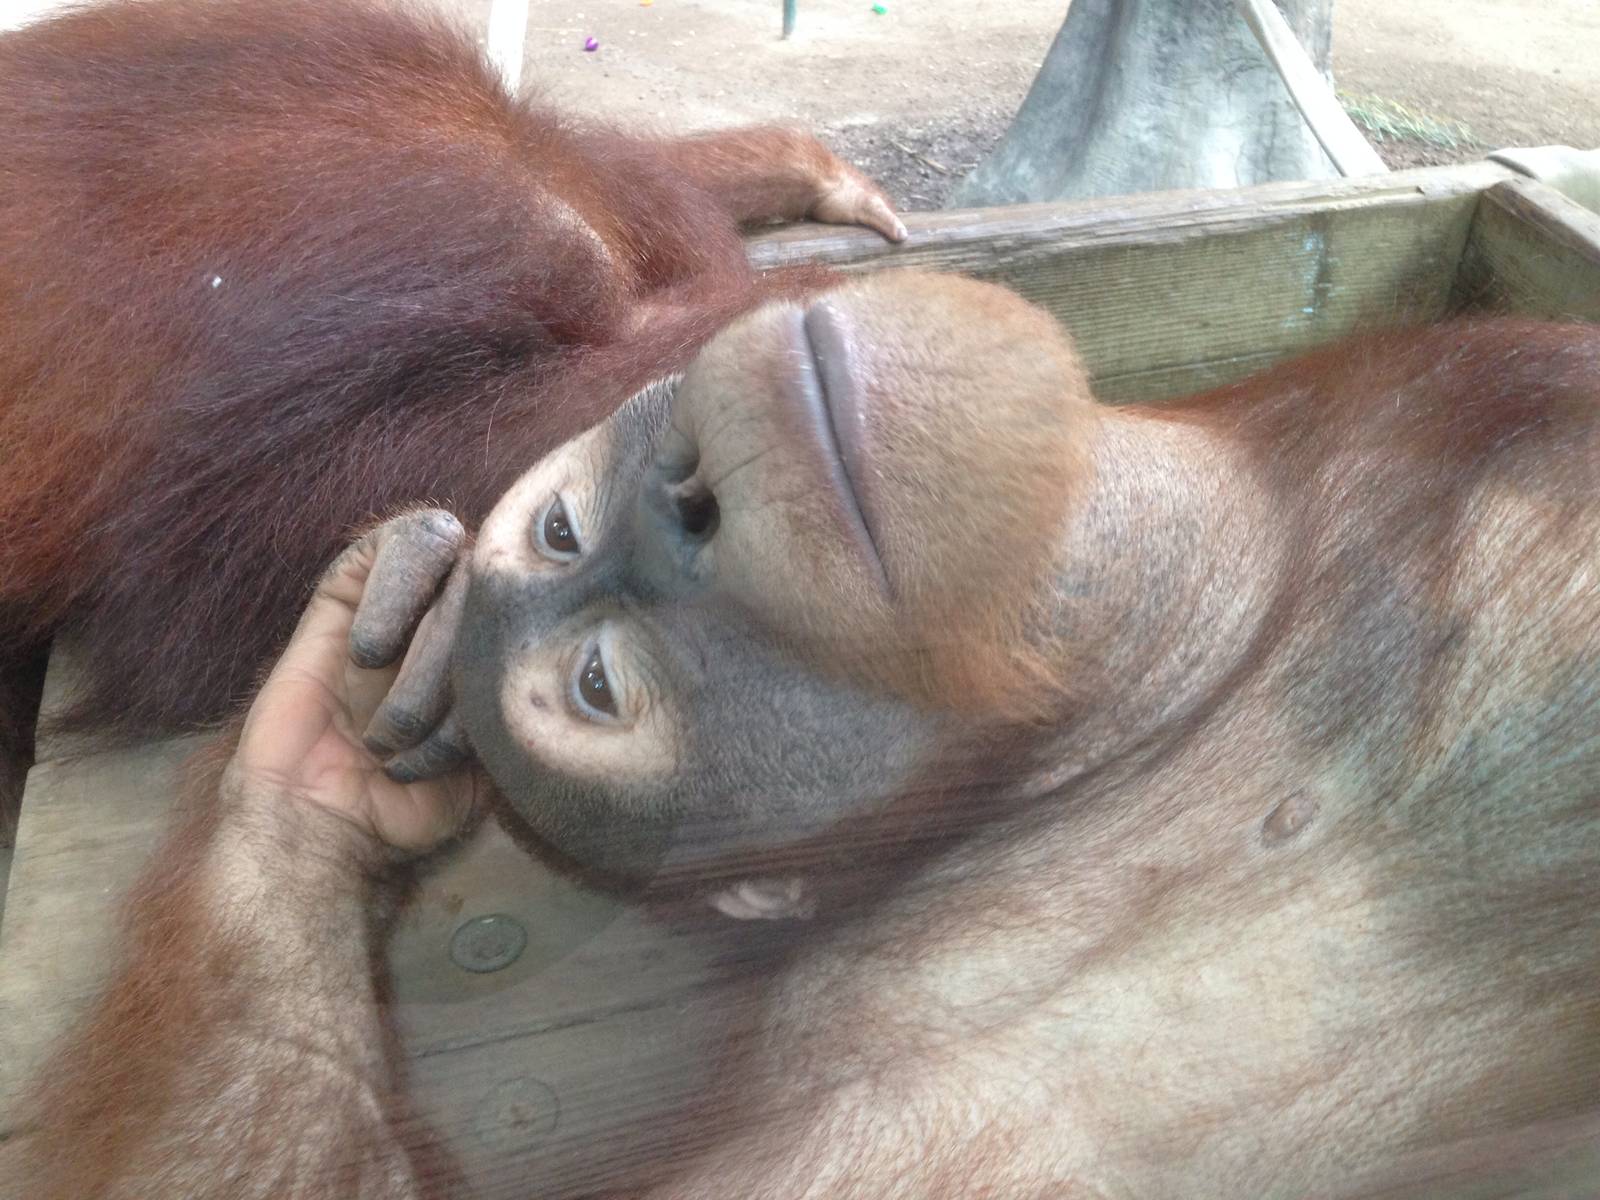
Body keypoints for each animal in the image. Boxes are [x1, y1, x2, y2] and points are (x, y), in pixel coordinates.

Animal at [9, 268, 1599, 1198]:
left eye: (561, 524)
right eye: (603, 690)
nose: (684, 497)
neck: (1213, 665)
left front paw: (360, 656)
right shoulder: (899, 1054)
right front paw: (308, 778)